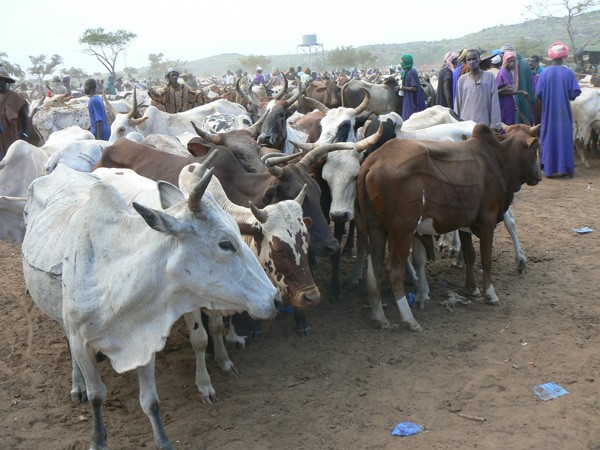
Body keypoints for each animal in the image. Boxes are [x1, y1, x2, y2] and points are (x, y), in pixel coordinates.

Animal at [20, 163, 278, 448]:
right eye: (225, 243)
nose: (275, 299)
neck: (115, 277)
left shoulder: (146, 339)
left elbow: (151, 402)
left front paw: (163, 441)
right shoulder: (81, 339)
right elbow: (97, 395)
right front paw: (98, 440)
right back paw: (77, 385)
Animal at [354, 123, 540, 330]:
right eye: (536, 147)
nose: (538, 175)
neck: (497, 158)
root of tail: (374, 160)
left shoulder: (466, 222)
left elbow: (470, 255)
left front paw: (471, 288)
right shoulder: (488, 219)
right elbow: (486, 259)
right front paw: (490, 293)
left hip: (376, 228)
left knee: (374, 269)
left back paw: (379, 316)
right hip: (402, 230)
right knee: (393, 270)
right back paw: (409, 319)